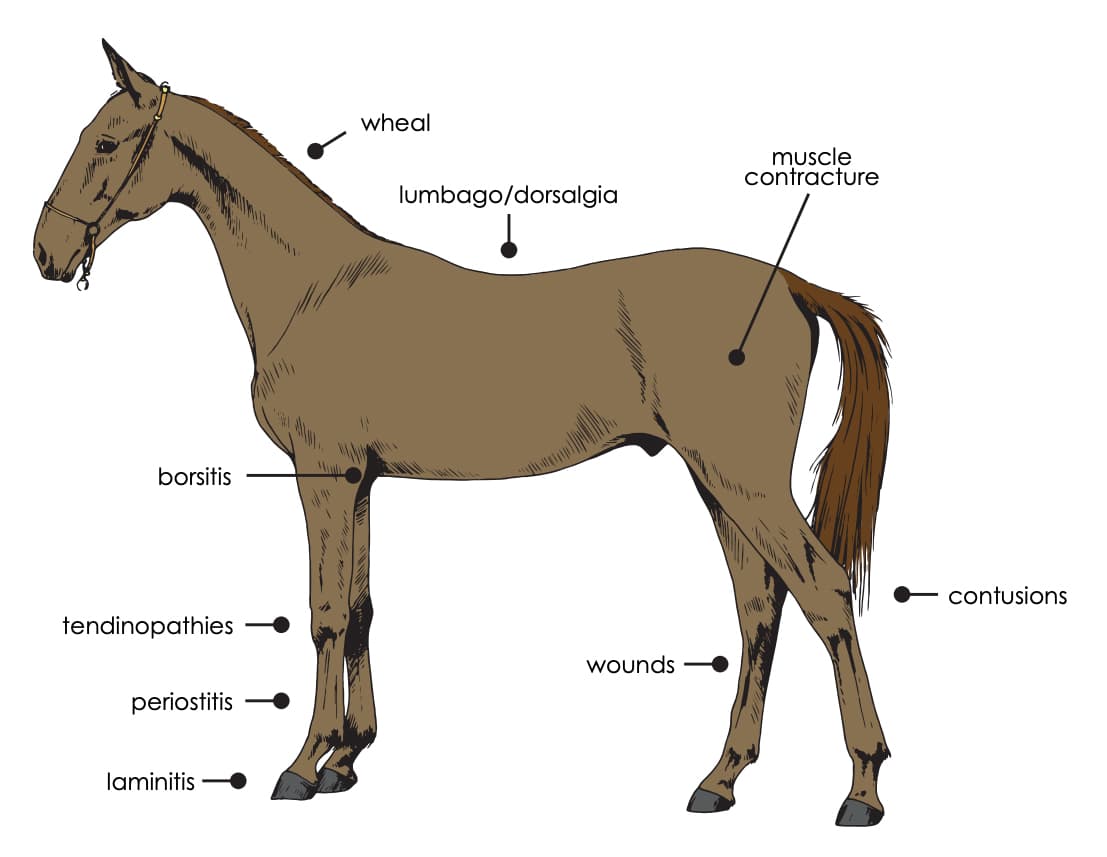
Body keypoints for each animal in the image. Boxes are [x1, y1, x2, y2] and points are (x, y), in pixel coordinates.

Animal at [34, 41, 891, 825]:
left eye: (105, 142)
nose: (45, 252)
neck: (313, 288)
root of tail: (790, 284)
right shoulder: (360, 480)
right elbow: (361, 608)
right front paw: (347, 757)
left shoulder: (322, 473)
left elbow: (324, 612)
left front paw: (302, 764)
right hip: (717, 482)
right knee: (758, 605)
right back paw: (720, 778)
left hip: (742, 478)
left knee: (820, 591)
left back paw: (860, 787)